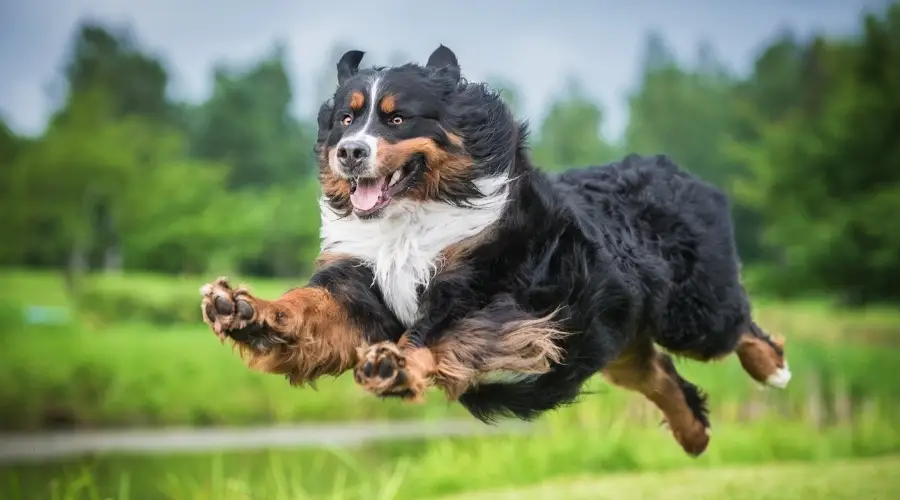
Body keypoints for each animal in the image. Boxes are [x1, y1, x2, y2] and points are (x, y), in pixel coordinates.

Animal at [200, 46, 792, 458]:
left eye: (397, 118)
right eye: (346, 119)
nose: (348, 153)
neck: (410, 220)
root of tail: (678, 171)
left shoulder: (491, 292)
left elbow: (439, 333)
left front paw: (394, 364)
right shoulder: (358, 285)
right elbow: (307, 308)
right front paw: (243, 310)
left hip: (693, 313)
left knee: (739, 327)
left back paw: (772, 370)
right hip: (615, 339)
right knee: (660, 375)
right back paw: (694, 437)